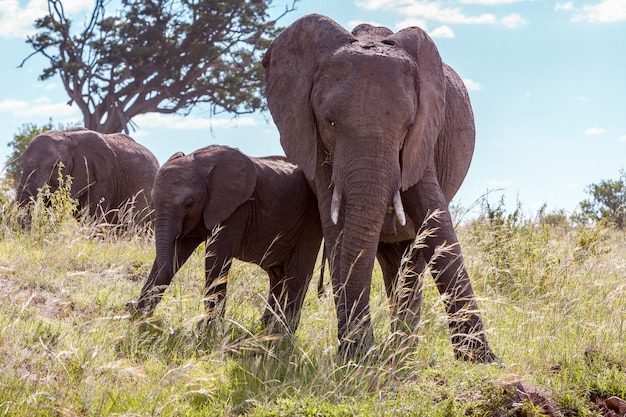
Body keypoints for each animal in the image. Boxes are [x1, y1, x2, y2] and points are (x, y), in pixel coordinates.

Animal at [127, 144, 322, 332]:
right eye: (153, 202)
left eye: (188, 203)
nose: (130, 305)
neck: (201, 163)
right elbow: (177, 252)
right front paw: (140, 316)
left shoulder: (236, 209)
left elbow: (216, 259)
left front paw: (208, 329)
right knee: (277, 275)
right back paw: (266, 327)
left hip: (311, 219)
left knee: (297, 275)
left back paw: (283, 333)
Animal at [262, 13, 498, 360]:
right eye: (330, 121)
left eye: (408, 124)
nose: (359, 348)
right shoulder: (317, 147)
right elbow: (336, 230)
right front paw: (356, 356)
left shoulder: (423, 139)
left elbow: (436, 221)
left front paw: (482, 362)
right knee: (394, 262)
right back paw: (397, 350)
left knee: (411, 261)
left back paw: (403, 352)